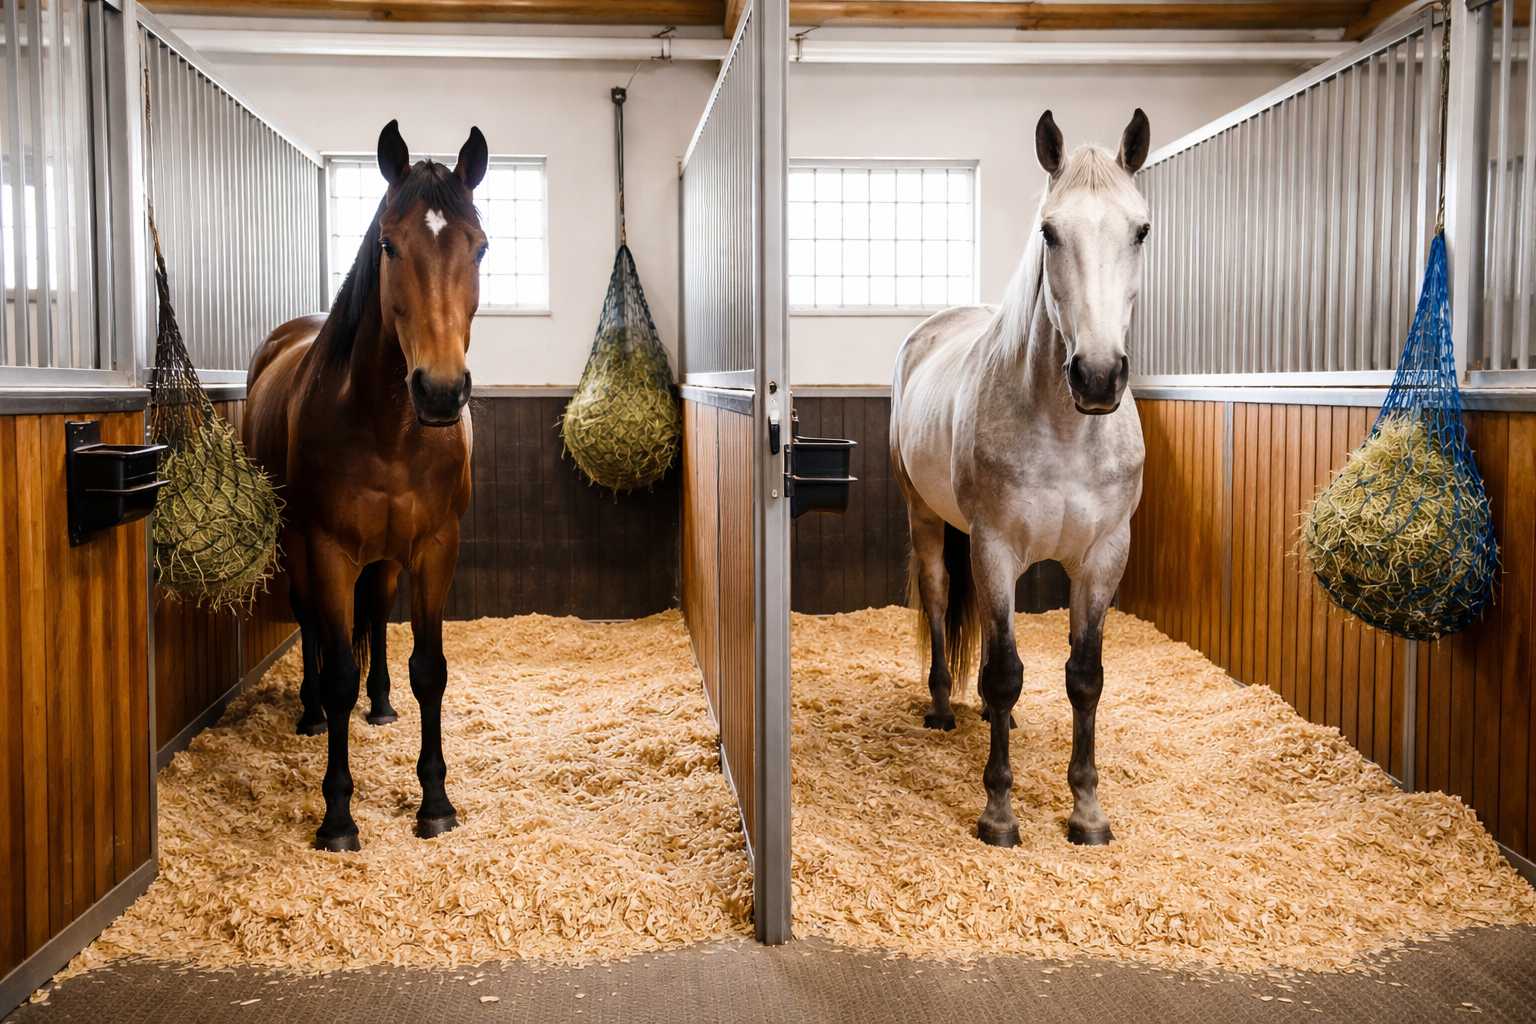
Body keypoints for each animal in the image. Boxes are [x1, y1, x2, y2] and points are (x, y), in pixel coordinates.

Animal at [244, 120, 489, 852]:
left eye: (481, 246)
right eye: (387, 243)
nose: (440, 391)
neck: (389, 429)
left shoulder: (436, 546)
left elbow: (429, 670)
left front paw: (435, 802)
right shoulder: (325, 548)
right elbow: (337, 673)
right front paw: (337, 815)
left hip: (385, 556)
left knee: (376, 615)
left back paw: (381, 706)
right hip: (298, 547)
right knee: (313, 631)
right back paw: (310, 715)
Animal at [891, 109, 1151, 849]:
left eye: (1140, 229)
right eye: (1049, 231)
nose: (1097, 376)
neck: (1065, 430)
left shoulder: (1103, 555)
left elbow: (1084, 678)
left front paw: (1087, 810)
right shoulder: (995, 547)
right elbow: (1006, 672)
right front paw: (999, 813)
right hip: (928, 522)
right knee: (940, 599)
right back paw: (944, 706)